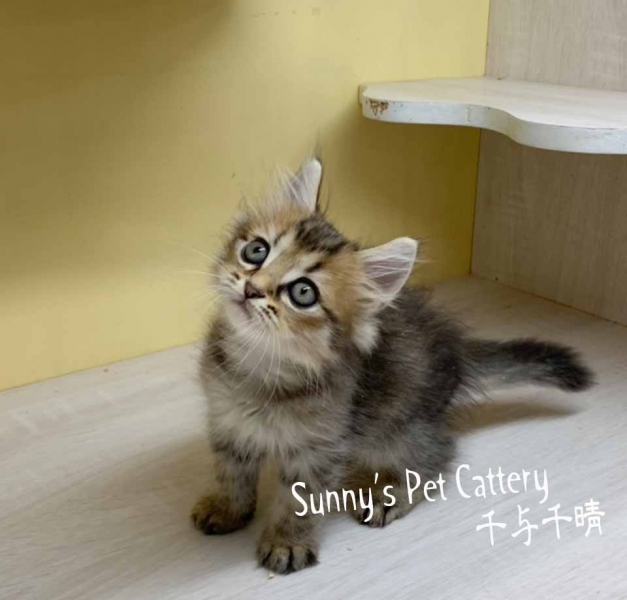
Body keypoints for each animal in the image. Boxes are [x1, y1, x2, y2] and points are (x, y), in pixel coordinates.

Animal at [191, 157, 593, 574]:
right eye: (256, 250)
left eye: (303, 293)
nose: (251, 289)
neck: (257, 369)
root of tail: (454, 348)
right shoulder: (229, 425)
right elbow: (232, 475)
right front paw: (228, 509)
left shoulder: (320, 450)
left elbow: (299, 502)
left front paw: (288, 541)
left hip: (401, 427)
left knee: (438, 453)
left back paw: (390, 493)